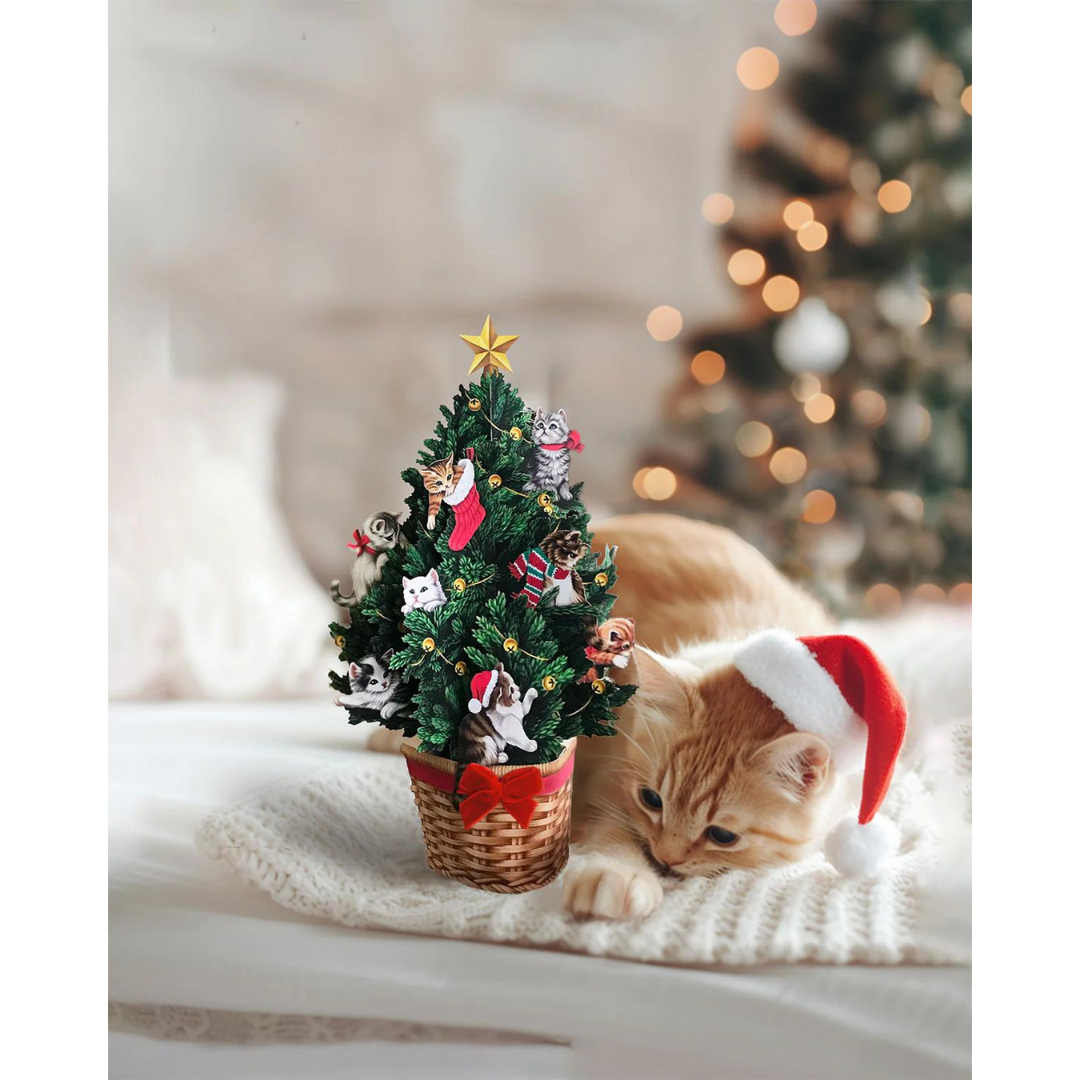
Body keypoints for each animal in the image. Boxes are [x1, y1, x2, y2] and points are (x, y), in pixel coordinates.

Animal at [565, 514, 842, 920]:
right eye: (651, 799)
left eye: (723, 836)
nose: (666, 859)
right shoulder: (606, 770)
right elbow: (608, 821)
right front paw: (616, 871)